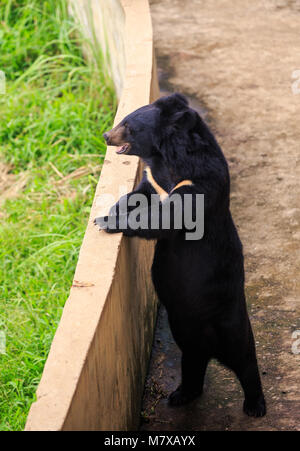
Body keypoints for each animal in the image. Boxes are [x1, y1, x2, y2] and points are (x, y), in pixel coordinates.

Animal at [95, 93, 266, 418]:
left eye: (128, 124)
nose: (106, 135)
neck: (168, 162)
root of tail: (210, 344)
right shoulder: (155, 182)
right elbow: (140, 193)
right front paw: (113, 209)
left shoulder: (199, 185)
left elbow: (167, 216)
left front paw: (105, 221)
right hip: (184, 329)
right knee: (192, 361)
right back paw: (182, 394)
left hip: (229, 320)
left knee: (245, 359)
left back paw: (255, 406)